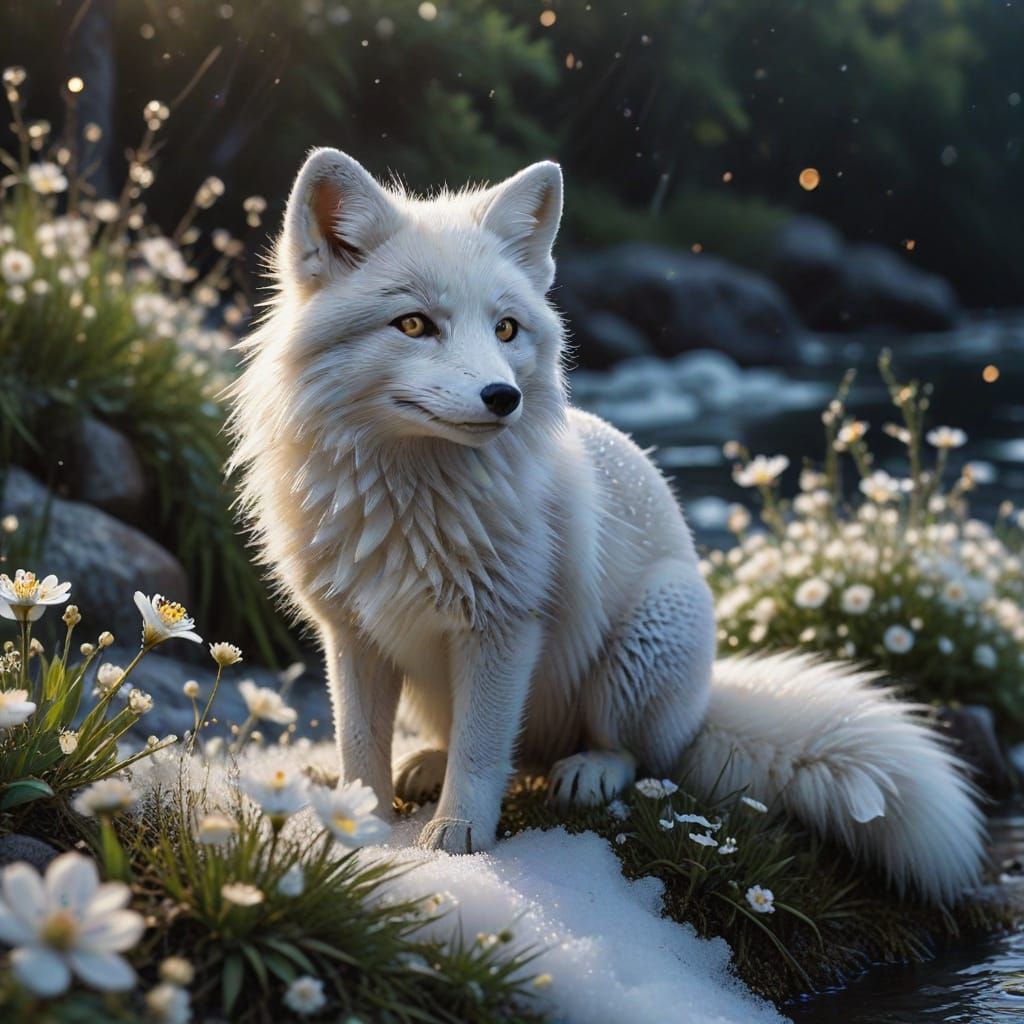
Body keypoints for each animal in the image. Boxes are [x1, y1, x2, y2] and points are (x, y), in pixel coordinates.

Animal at [229, 148, 985, 905]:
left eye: (506, 329)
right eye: (413, 325)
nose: (504, 397)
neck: (411, 502)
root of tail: (705, 704)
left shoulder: (505, 627)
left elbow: (482, 751)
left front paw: (457, 839)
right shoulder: (352, 635)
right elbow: (360, 748)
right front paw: (354, 827)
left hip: (644, 640)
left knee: (630, 757)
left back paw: (588, 771)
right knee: (502, 747)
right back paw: (428, 763)